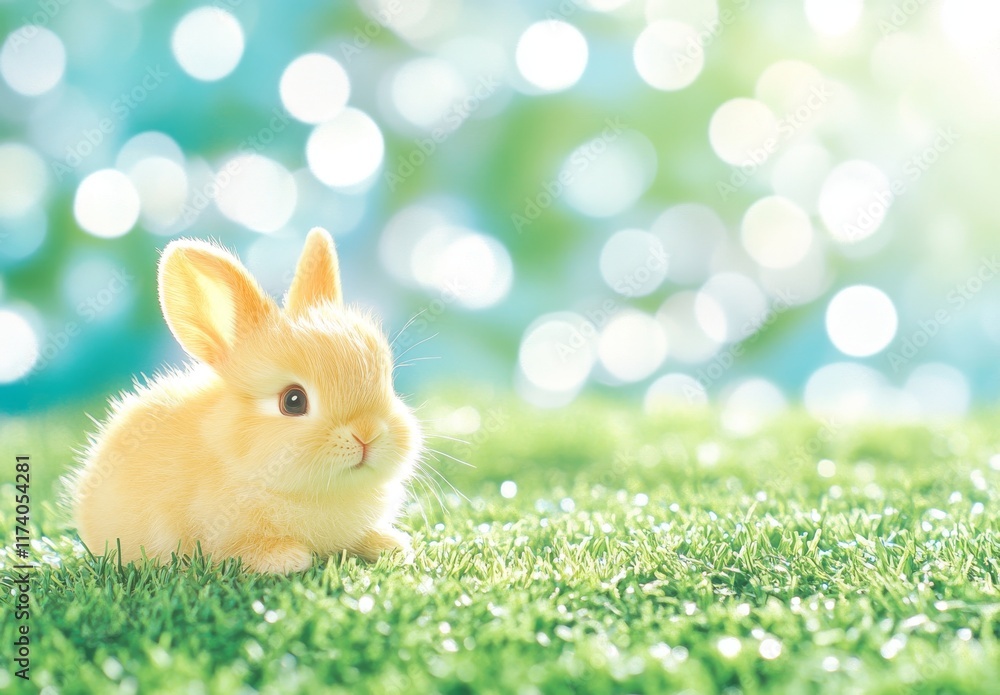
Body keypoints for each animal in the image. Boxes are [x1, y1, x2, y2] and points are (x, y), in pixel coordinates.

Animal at [72, 227, 422, 574]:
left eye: (388, 383)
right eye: (293, 401)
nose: (367, 434)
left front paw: (392, 545)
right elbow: (233, 552)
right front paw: (288, 558)